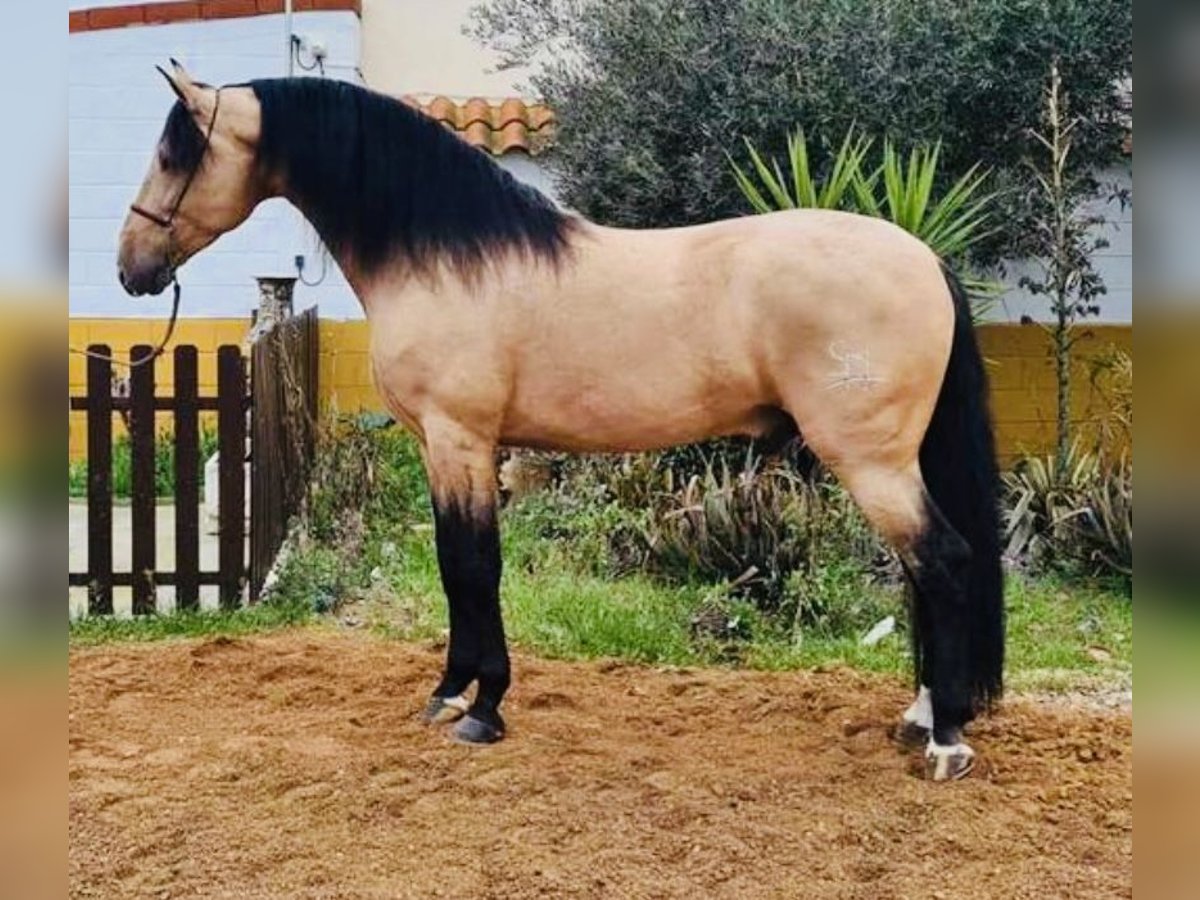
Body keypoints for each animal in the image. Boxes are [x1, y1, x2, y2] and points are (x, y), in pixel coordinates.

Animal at [121, 65, 1003, 782]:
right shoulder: (445, 449)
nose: (132, 267)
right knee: (924, 572)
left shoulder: (462, 441)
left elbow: (472, 567)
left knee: (942, 562)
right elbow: (456, 567)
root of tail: (923, 256)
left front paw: (481, 709)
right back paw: (921, 716)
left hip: (871, 459)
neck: (446, 260)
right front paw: (450, 693)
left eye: (173, 155)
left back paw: (945, 740)